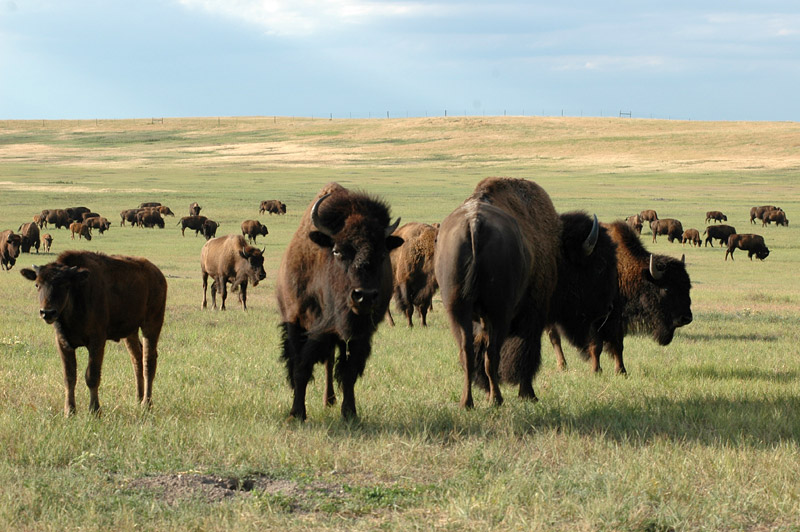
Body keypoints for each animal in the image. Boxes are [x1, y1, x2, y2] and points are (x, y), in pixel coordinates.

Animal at [18, 249, 166, 416]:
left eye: (65, 284)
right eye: (37, 284)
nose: (47, 312)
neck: (77, 293)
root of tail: (158, 275)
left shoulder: (97, 341)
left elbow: (92, 376)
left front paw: (95, 410)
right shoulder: (63, 343)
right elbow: (69, 377)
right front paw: (69, 412)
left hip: (152, 324)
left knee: (148, 361)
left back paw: (146, 404)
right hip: (130, 333)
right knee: (137, 359)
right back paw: (138, 399)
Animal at [276, 183, 404, 420]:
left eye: (382, 254)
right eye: (337, 251)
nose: (364, 296)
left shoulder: (360, 335)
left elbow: (349, 372)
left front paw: (350, 413)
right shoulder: (297, 325)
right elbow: (300, 367)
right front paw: (296, 414)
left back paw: (330, 400)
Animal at [434, 179, 560, 408]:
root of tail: (474, 223)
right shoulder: (533, 313)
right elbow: (526, 350)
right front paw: (528, 394)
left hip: (457, 309)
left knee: (468, 351)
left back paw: (468, 401)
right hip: (499, 312)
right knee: (492, 351)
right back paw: (496, 398)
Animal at [548, 222, 692, 376]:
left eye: (688, 287)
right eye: (666, 289)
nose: (686, 318)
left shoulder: (617, 318)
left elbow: (618, 345)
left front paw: (621, 371)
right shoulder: (595, 320)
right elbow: (596, 346)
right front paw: (596, 371)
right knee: (554, 338)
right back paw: (562, 365)